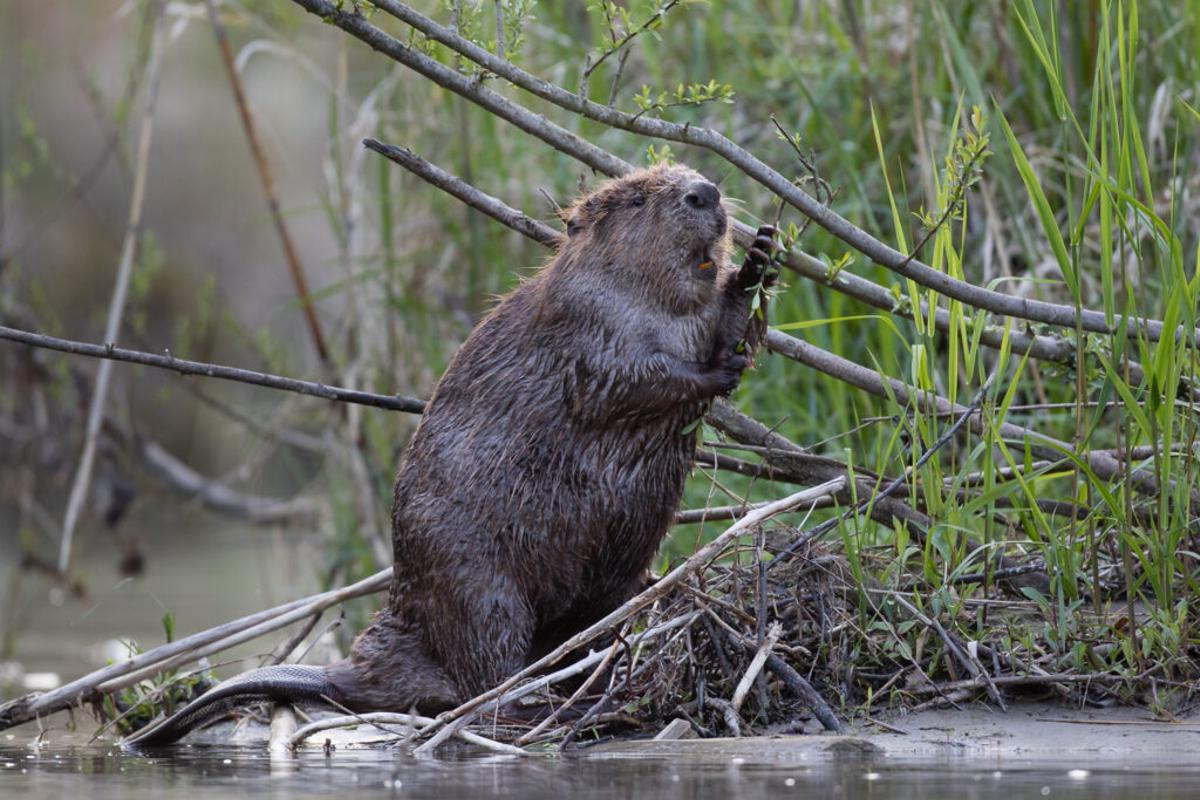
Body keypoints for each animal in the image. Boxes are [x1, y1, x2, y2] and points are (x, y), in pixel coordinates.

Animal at [124, 165, 777, 748]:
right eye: (638, 197)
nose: (705, 191)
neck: (657, 301)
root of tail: (347, 671)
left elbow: (731, 330)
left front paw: (756, 263)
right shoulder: (585, 321)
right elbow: (620, 382)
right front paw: (713, 366)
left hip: (610, 587)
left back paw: (596, 688)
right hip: (481, 586)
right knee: (483, 681)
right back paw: (554, 708)